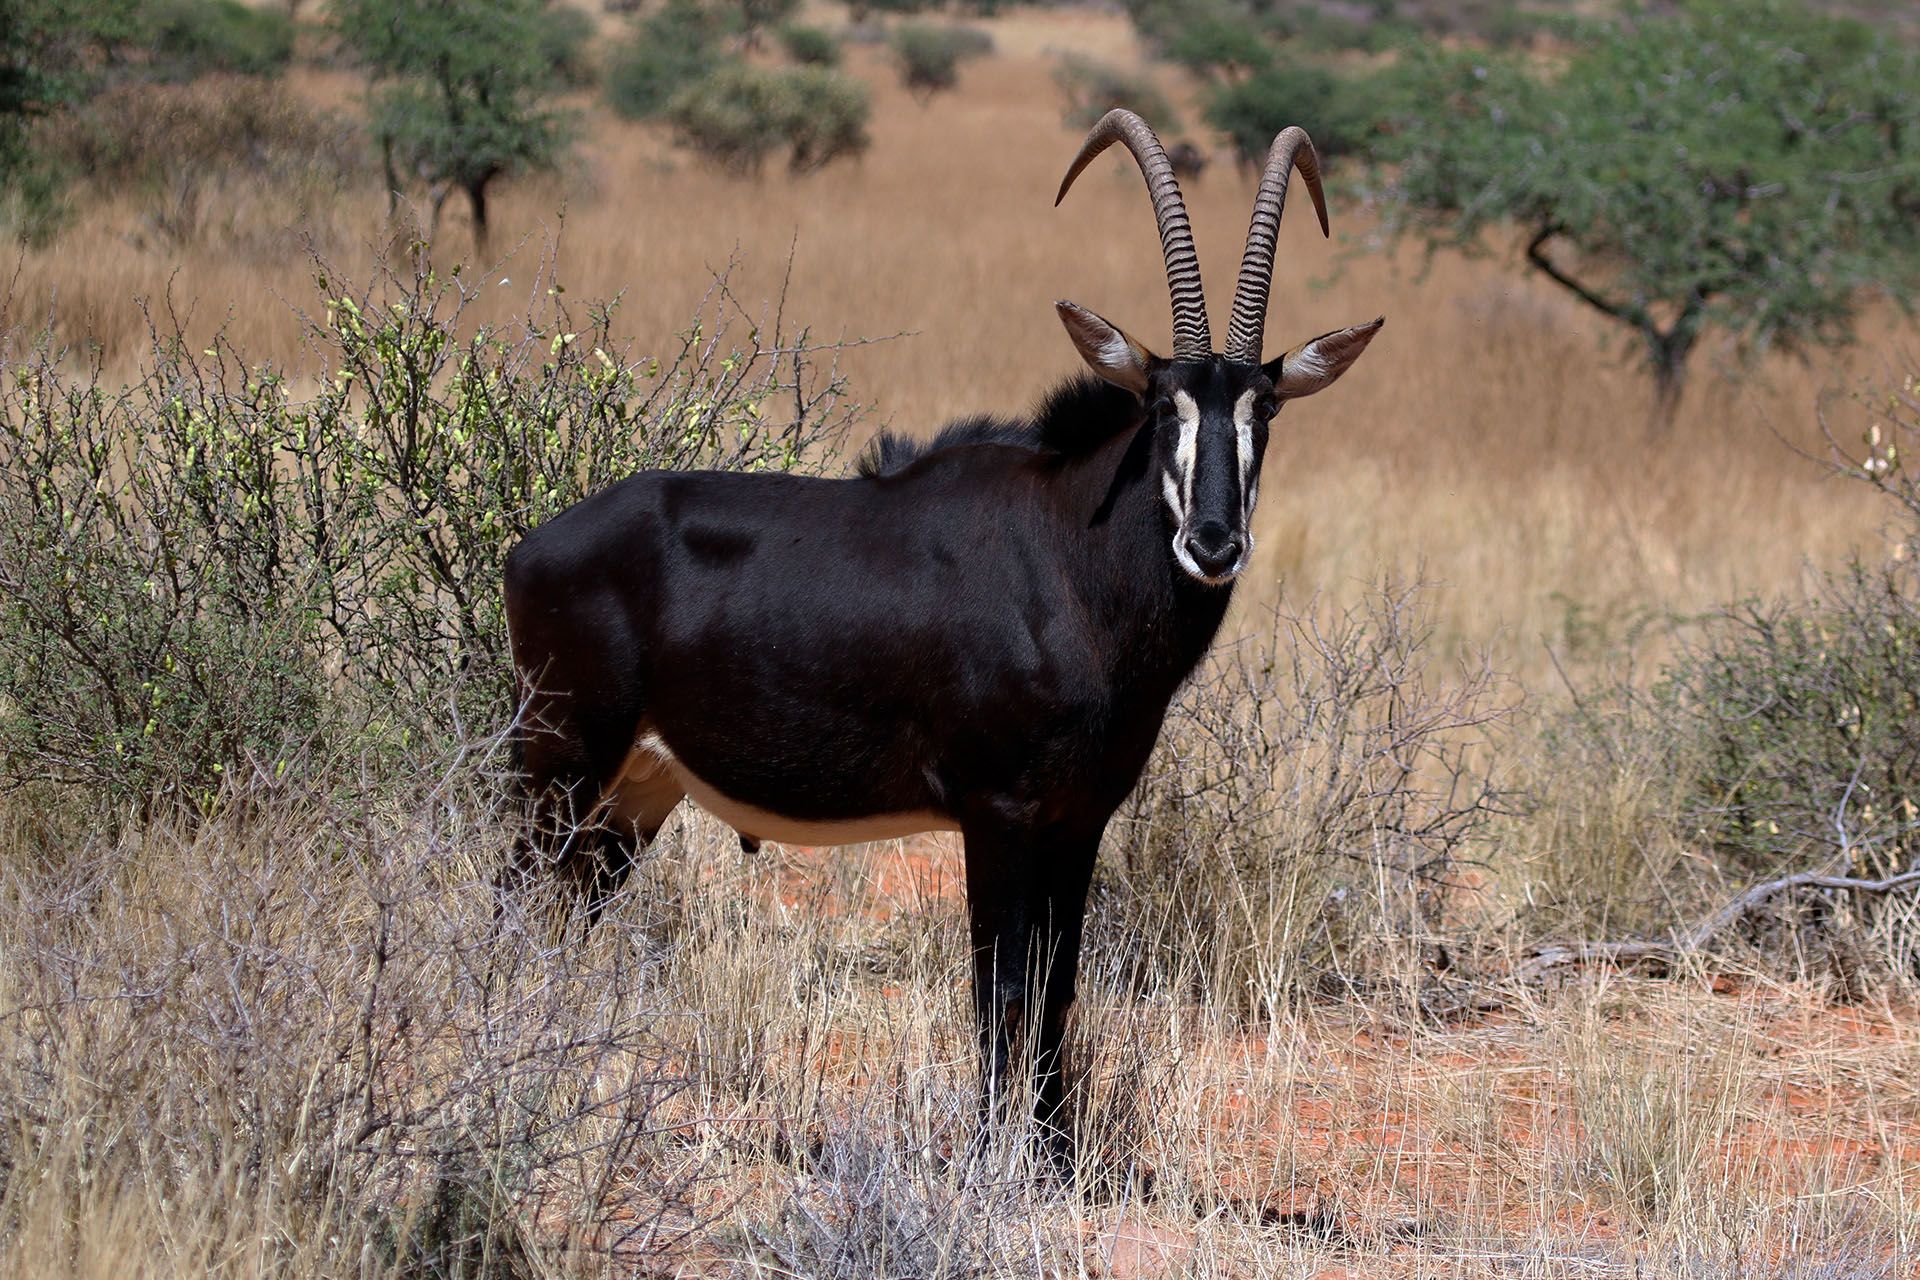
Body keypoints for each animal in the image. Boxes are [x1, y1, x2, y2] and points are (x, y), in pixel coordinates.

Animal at [506, 110, 1382, 1151]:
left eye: (1264, 408)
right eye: (1162, 401)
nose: (1213, 541)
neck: (1068, 558)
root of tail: (531, 548)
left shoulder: (1077, 819)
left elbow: (1056, 989)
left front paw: (1052, 1154)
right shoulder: (997, 813)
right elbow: (1000, 992)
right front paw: (997, 1157)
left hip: (634, 792)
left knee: (564, 918)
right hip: (560, 762)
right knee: (516, 907)